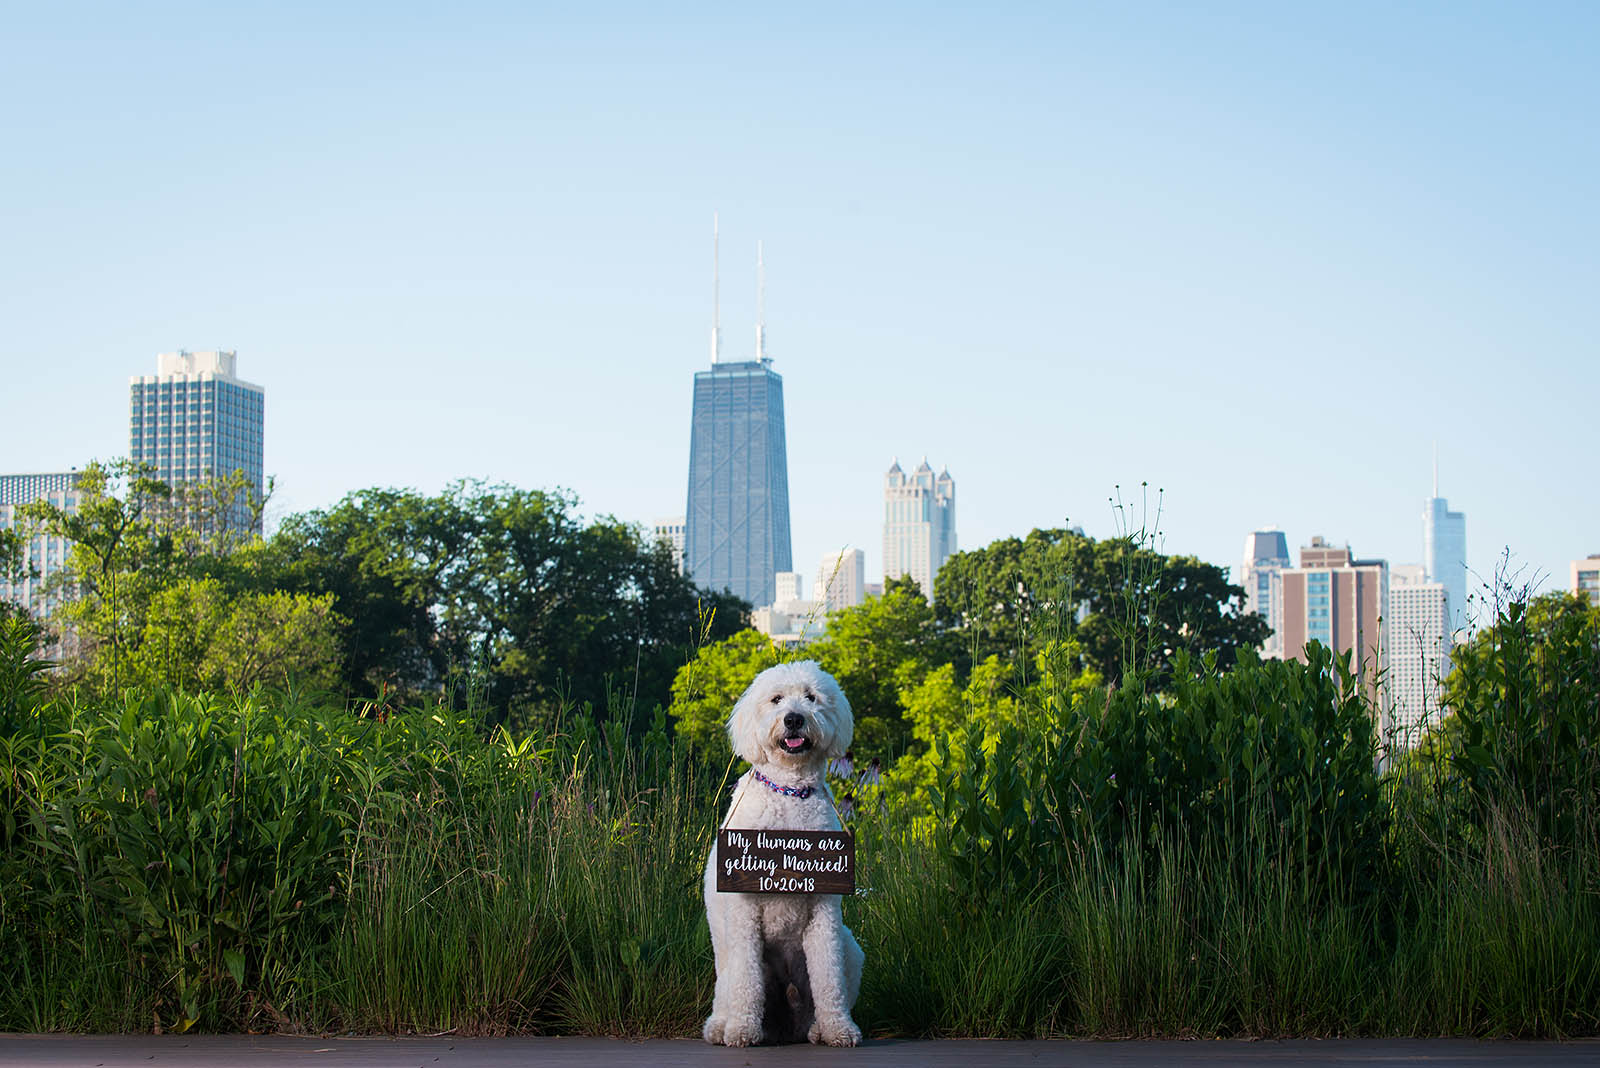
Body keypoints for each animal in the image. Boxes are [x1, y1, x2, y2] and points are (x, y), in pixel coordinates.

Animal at [707, 661, 870, 1048]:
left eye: (811, 697)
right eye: (776, 699)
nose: (794, 719)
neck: (790, 793)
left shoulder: (825, 912)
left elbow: (829, 982)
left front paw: (839, 1029)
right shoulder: (743, 914)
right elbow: (746, 983)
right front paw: (742, 1031)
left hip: (850, 947)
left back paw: (817, 1029)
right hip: (729, 959)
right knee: (729, 990)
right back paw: (723, 1026)